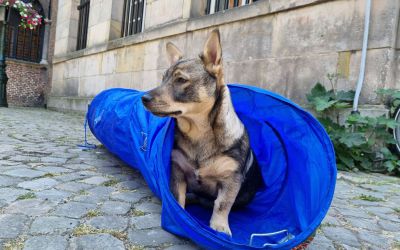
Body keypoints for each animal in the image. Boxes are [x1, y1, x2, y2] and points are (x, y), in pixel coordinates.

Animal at [141, 29, 262, 236]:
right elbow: (178, 196)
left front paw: (219, 227)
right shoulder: (177, 170)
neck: (198, 132)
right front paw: (179, 216)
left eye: (181, 80)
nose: (143, 98)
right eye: (163, 79)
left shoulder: (231, 180)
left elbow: (223, 204)